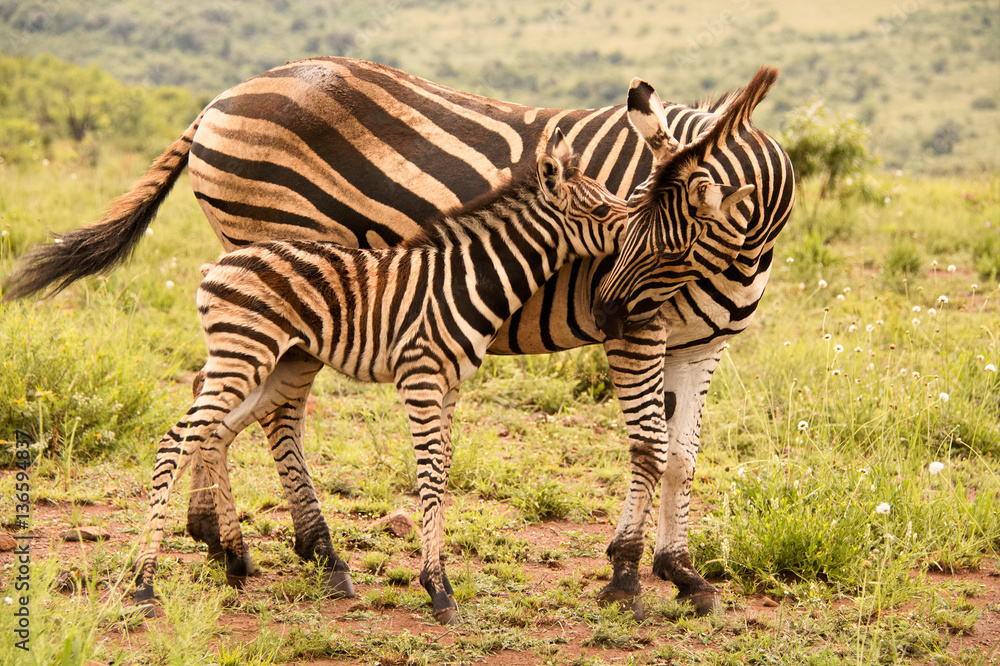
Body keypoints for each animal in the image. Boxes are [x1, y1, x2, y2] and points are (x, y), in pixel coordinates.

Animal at [133, 132, 637, 624]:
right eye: (600, 211)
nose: (641, 231)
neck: (468, 281)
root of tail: (217, 265)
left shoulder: (451, 382)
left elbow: (444, 469)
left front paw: (438, 577)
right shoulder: (420, 375)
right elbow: (429, 471)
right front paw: (438, 588)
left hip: (276, 365)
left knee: (214, 432)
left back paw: (235, 559)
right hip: (243, 353)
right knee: (176, 439)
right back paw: (144, 586)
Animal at [590, 66, 795, 615]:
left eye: (672, 252)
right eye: (620, 226)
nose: (600, 314)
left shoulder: (703, 344)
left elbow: (682, 455)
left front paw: (680, 569)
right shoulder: (641, 335)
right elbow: (650, 446)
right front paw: (625, 571)